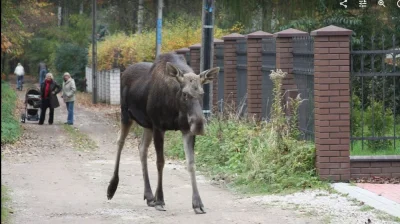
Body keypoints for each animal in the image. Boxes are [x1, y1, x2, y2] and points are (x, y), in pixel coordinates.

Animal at [107, 51, 219, 214]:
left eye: (202, 93)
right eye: (185, 94)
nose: (198, 124)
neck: (174, 106)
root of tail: (124, 71)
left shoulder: (185, 130)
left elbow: (191, 163)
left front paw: (197, 203)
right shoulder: (159, 127)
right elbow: (160, 162)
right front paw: (160, 199)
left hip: (147, 125)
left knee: (142, 148)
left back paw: (149, 195)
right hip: (126, 115)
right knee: (119, 142)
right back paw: (112, 188)